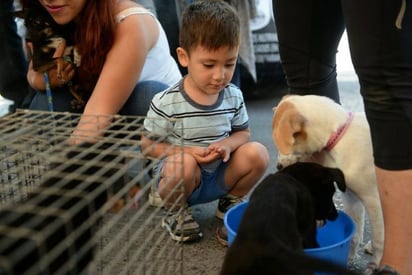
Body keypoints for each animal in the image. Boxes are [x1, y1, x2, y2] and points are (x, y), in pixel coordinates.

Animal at [272, 95, 384, 266]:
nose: (278, 166)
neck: (340, 135)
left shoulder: (374, 200)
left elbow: (379, 239)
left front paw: (377, 264)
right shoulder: (351, 197)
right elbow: (354, 233)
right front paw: (348, 257)